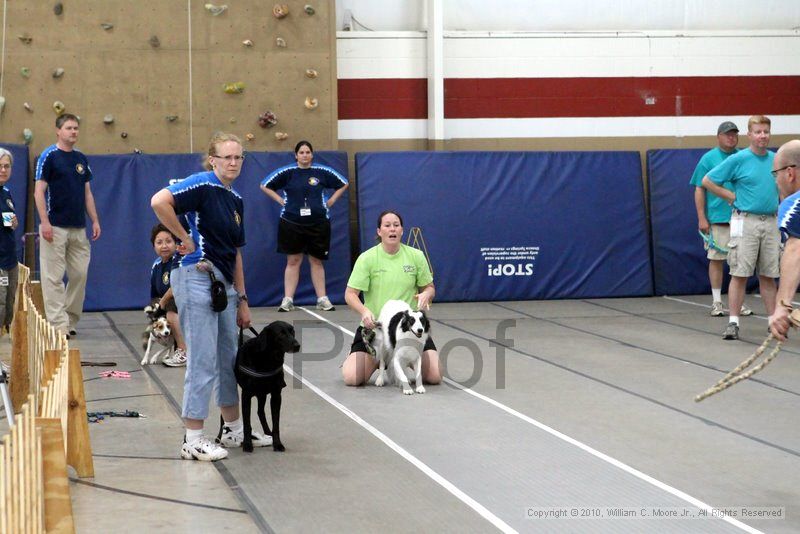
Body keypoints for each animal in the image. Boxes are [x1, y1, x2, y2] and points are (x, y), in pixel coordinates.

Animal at [219, 320, 300, 454]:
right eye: (281, 333)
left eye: (292, 331)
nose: (297, 345)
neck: (268, 359)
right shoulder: (246, 395)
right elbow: (247, 424)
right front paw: (247, 444)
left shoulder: (276, 395)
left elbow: (276, 424)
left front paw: (277, 444)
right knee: (223, 415)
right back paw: (219, 436)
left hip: (262, 393)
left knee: (260, 412)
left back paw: (268, 433)